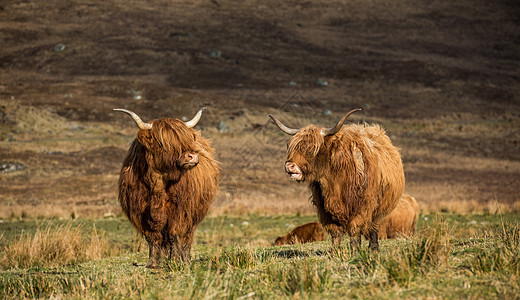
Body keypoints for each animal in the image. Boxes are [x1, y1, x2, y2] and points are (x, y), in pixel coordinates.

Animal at [115, 107, 218, 268]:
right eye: (164, 143)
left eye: (187, 139)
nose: (192, 156)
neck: (158, 183)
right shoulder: (141, 212)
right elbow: (153, 237)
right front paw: (153, 263)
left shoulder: (180, 210)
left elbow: (174, 234)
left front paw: (176, 261)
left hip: (194, 214)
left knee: (186, 237)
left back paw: (185, 259)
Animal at [270, 109, 408, 251]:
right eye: (290, 146)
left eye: (312, 147)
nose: (289, 166)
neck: (334, 181)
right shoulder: (324, 208)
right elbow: (335, 232)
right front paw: (335, 251)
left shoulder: (362, 206)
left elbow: (354, 229)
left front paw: (356, 251)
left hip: (381, 208)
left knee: (373, 227)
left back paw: (373, 249)